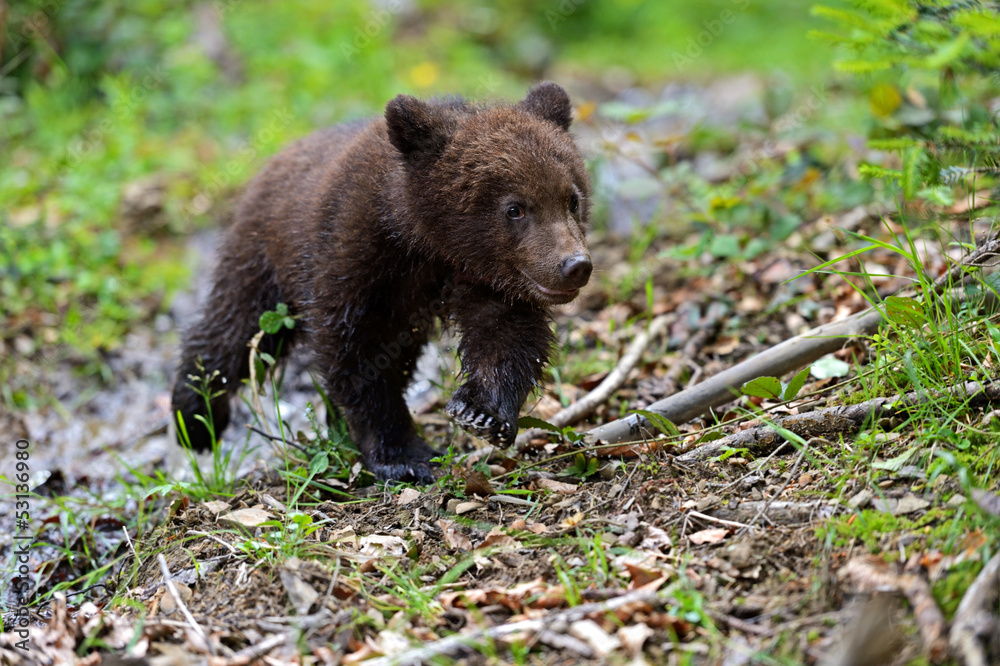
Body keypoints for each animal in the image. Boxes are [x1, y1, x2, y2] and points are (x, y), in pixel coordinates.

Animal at [171, 82, 592, 482]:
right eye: (515, 208)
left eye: (571, 198)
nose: (575, 265)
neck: (427, 242)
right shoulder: (357, 254)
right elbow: (358, 352)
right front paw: (403, 456)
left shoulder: (490, 279)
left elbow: (506, 335)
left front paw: (482, 412)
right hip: (263, 259)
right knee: (236, 327)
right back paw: (195, 416)